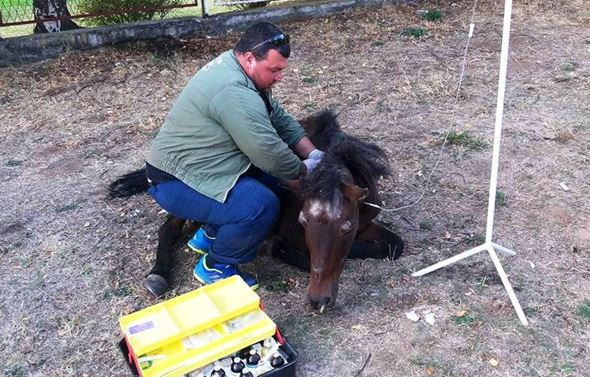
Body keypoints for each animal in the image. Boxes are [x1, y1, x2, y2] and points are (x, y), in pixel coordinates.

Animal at [108, 110, 404, 310]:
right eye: (303, 221)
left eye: (346, 227)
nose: (318, 300)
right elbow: (297, 253)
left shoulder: (365, 221)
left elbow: (395, 246)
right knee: (168, 228)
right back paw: (158, 274)